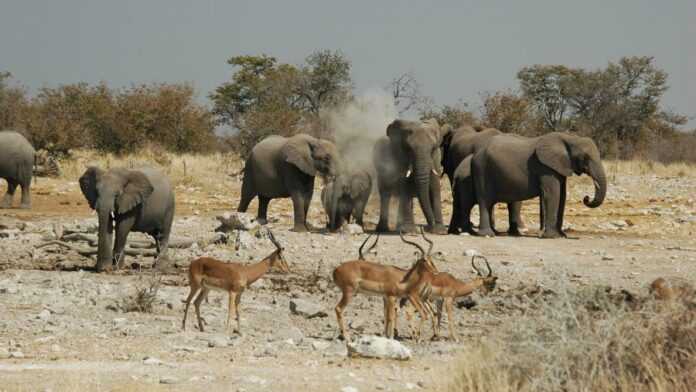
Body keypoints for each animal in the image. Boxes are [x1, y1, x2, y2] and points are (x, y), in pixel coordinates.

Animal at [470, 132, 608, 237]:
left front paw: (561, 235)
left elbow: (562, 196)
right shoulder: (545, 167)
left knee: (489, 203)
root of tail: (476, 153)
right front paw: (552, 236)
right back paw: (487, 234)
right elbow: (552, 194)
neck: (568, 138)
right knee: (484, 201)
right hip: (481, 169)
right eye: (585, 157)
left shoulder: (559, 167)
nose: (586, 198)